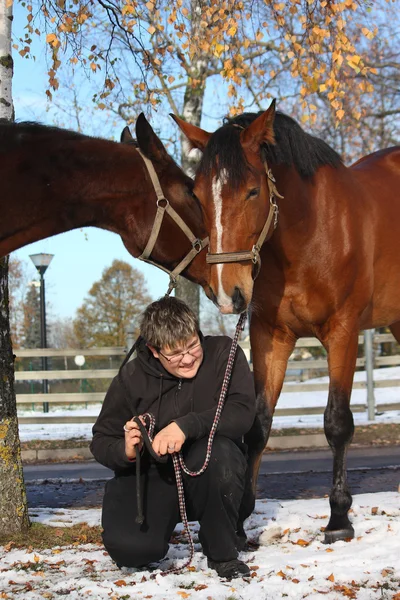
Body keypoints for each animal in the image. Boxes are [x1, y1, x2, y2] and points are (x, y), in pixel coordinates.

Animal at [173, 102, 400, 544]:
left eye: (253, 191)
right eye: (199, 196)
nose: (226, 293)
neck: (311, 234)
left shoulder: (342, 333)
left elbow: (337, 423)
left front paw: (339, 518)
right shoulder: (270, 336)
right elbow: (258, 425)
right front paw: (241, 517)